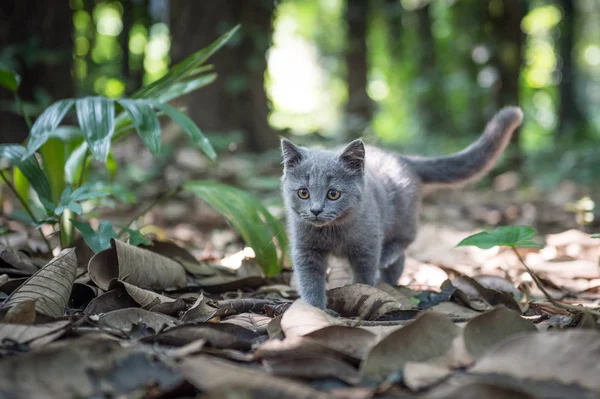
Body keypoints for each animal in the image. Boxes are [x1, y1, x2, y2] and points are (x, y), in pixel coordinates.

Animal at [280, 107, 520, 310]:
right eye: (303, 193)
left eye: (333, 194)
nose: (316, 210)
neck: (332, 231)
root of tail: (402, 158)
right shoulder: (306, 249)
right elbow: (310, 280)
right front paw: (315, 309)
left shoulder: (367, 247)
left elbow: (365, 274)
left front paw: (362, 289)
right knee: (400, 261)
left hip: (403, 215)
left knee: (407, 238)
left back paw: (387, 256)